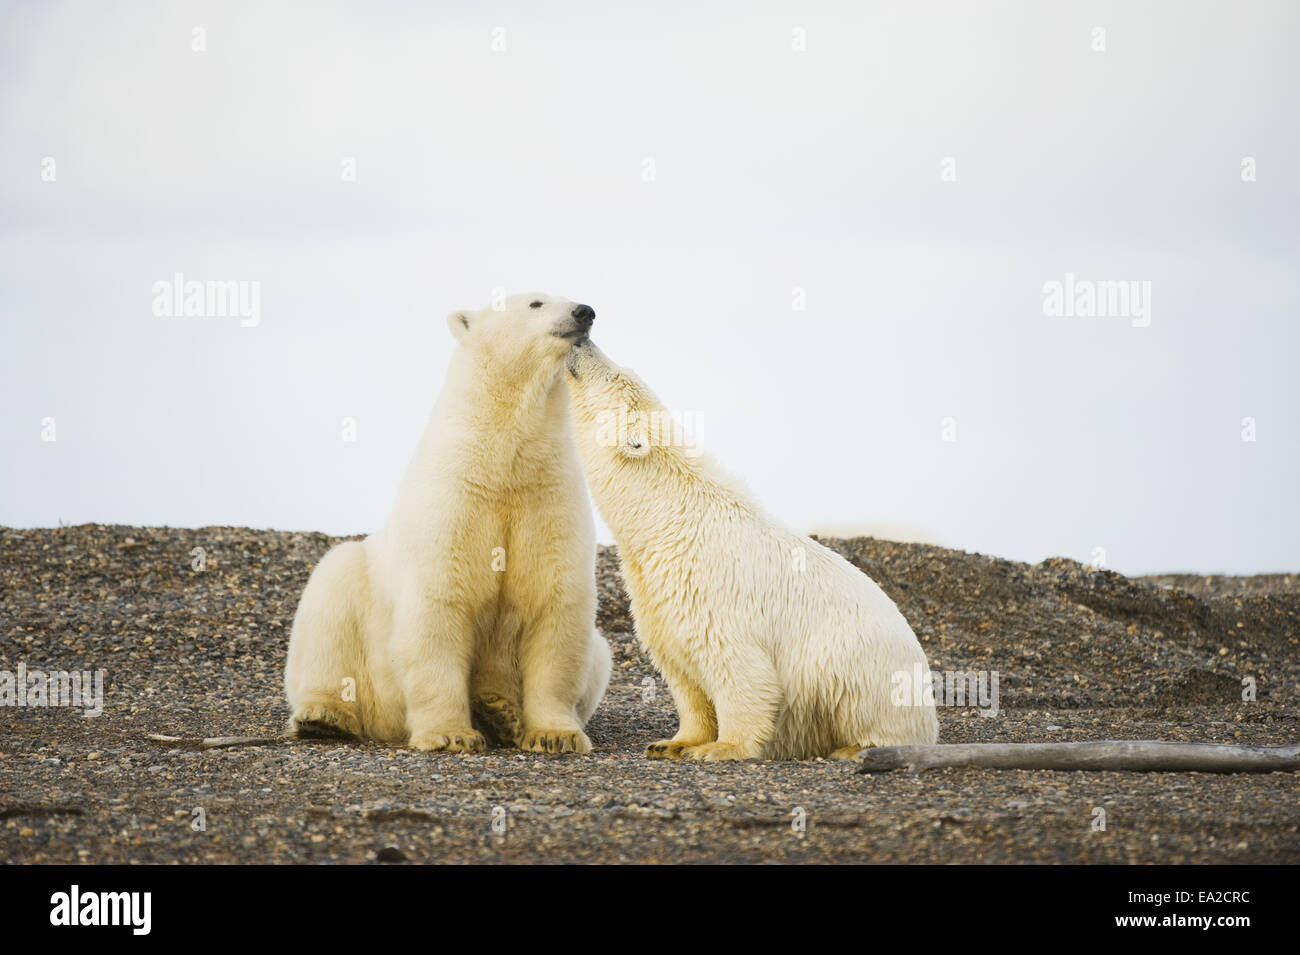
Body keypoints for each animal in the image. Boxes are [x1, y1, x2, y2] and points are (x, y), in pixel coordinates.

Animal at [284, 293, 611, 754]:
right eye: (536, 302)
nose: (584, 311)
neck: (503, 466)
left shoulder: (549, 502)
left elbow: (555, 610)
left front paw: (555, 735)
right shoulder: (454, 502)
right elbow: (439, 607)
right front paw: (450, 734)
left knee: (600, 651)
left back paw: (499, 710)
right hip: (359, 604)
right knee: (329, 603)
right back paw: (323, 716)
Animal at [564, 339, 938, 760]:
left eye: (614, 373)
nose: (582, 338)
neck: (669, 516)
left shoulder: (713, 591)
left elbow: (742, 670)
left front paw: (721, 747)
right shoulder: (657, 593)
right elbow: (683, 675)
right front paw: (673, 743)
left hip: (863, 665)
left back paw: (855, 748)